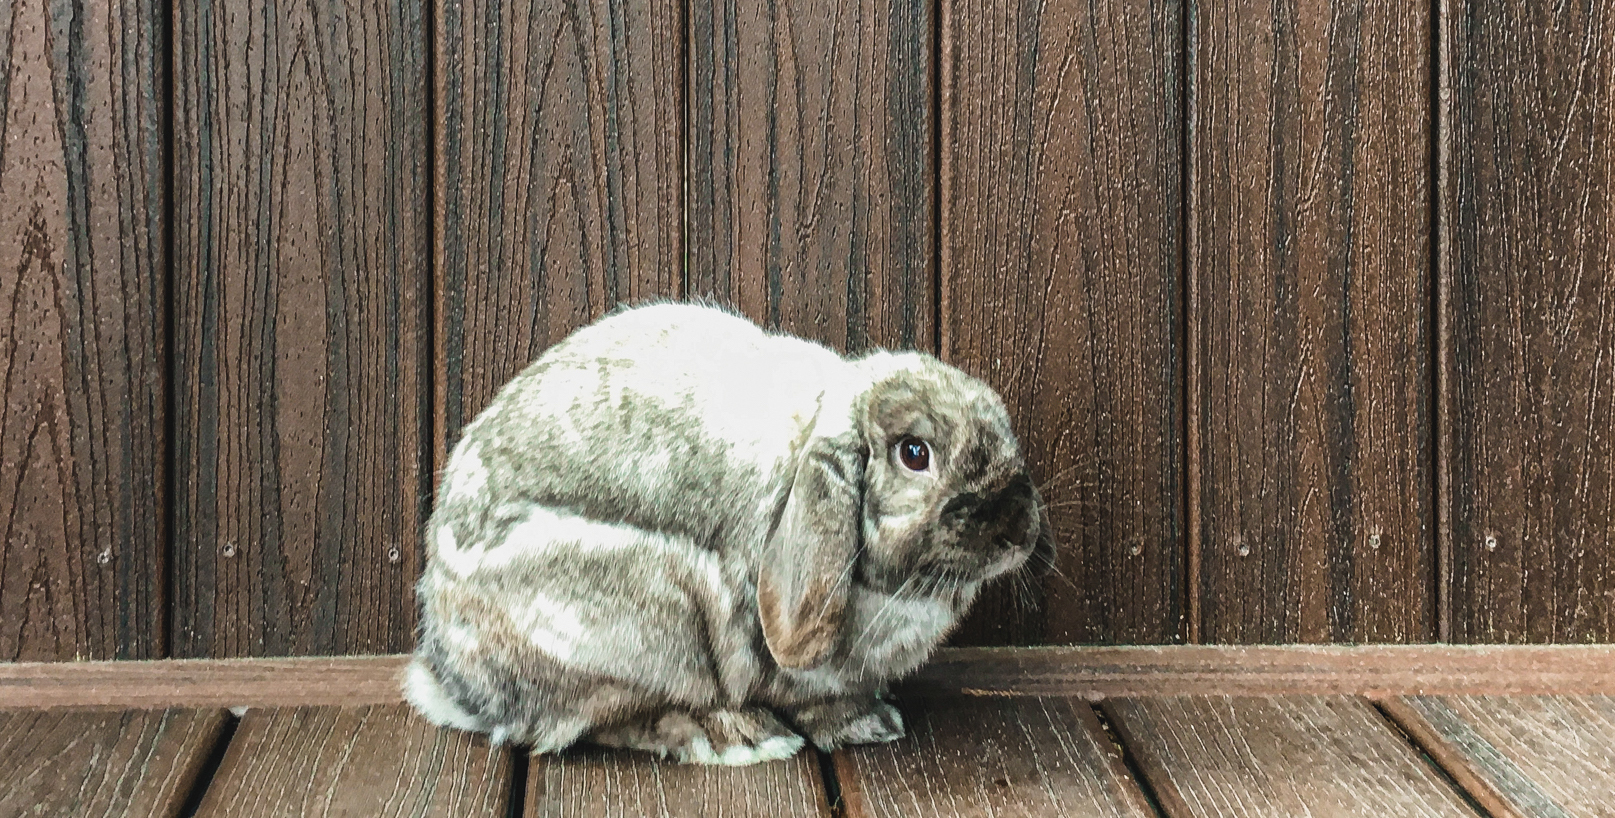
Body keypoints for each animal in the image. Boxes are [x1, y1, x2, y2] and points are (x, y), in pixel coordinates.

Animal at [403, 301, 1053, 765]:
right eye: (915, 453)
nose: (1019, 527)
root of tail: (450, 678)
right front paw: (864, 726)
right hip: (646, 626)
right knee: (605, 721)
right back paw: (736, 736)